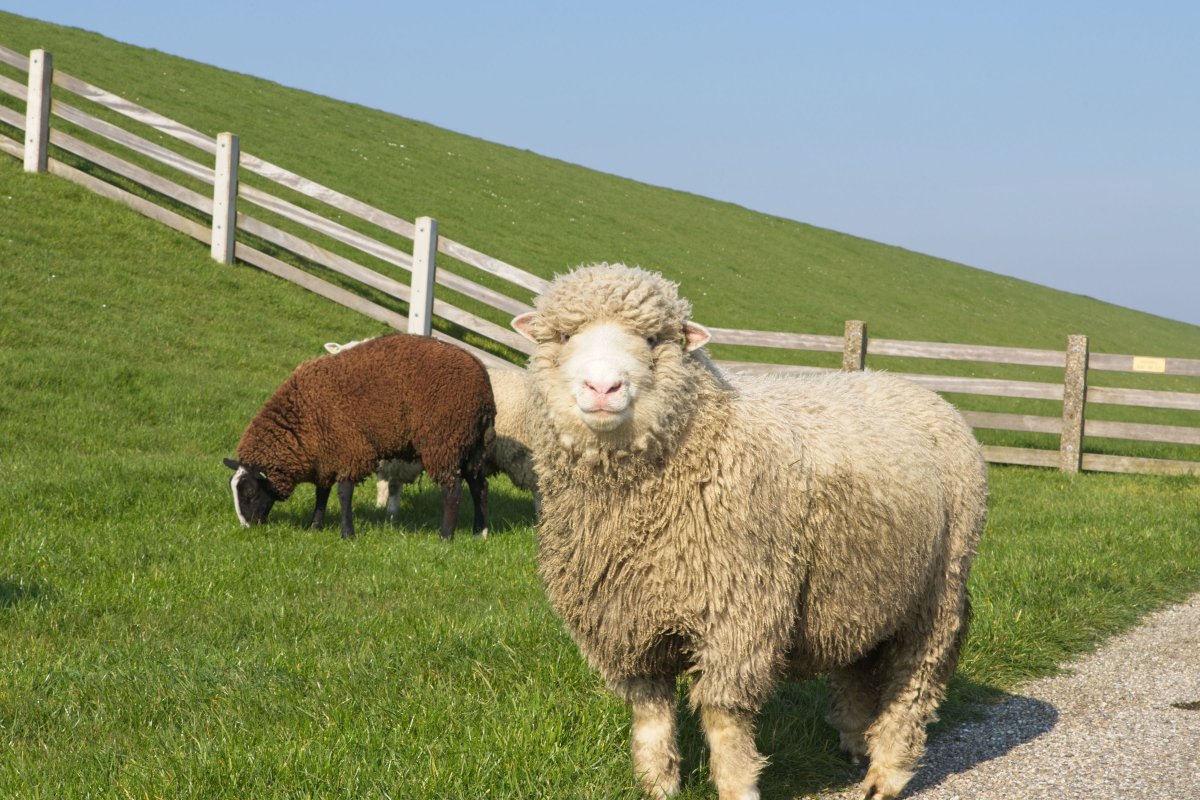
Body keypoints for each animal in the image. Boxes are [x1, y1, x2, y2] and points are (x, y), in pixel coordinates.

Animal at [511, 263, 988, 800]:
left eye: (653, 339)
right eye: (564, 336)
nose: (603, 387)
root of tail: (910, 386)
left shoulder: (739, 614)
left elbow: (724, 719)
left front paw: (737, 784)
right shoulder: (626, 623)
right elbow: (650, 715)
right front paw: (658, 784)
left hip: (940, 585)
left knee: (915, 678)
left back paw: (886, 771)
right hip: (862, 585)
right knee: (857, 663)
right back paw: (855, 741)